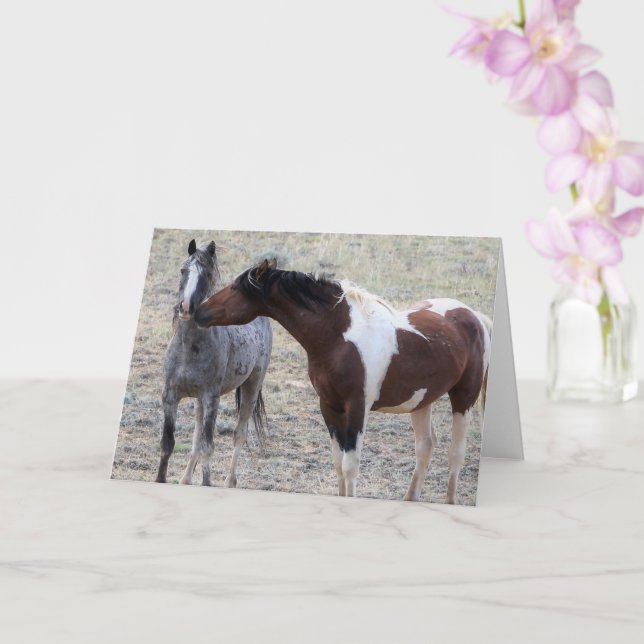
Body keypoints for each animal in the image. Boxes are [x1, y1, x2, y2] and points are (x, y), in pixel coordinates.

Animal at [156, 240, 273, 488]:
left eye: (207, 274)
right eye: (183, 270)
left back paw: (230, 482)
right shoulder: (170, 396)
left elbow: (208, 446)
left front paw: (207, 483)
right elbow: (168, 443)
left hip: (252, 386)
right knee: (197, 435)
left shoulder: (212, 398)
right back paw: (185, 479)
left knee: (239, 434)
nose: (186, 308)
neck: (189, 347)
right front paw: (161, 479)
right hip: (199, 401)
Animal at [194, 259, 492, 504]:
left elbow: (351, 464)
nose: (198, 311)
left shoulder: (357, 407)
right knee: (425, 448)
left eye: (235, 288)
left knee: (456, 452)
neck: (338, 336)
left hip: (463, 398)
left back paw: (450, 501)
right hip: (421, 401)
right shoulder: (329, 406)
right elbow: (338, 463)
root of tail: (475, 317)